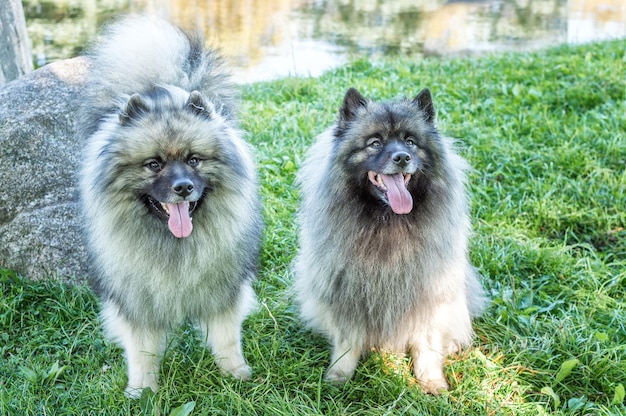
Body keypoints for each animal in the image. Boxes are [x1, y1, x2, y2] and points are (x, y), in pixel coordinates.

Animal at [290, 88, 486, 394]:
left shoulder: (429, 295)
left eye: (410, 142)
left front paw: (432, 381)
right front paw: (339, 377)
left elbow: (427, 344)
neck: (388, 223)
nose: (402, 157)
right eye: (375, 143)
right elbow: (347, 342)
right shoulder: (347, 293)